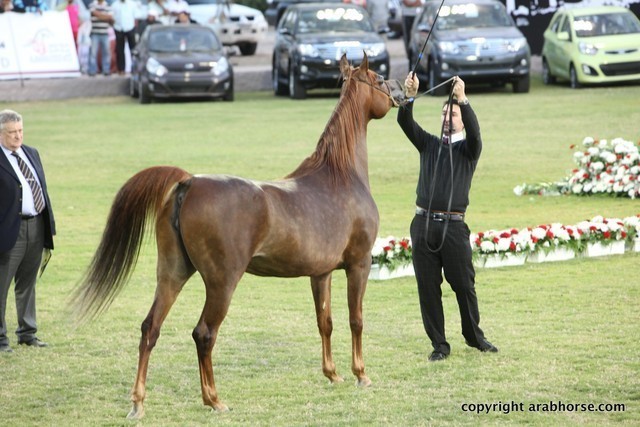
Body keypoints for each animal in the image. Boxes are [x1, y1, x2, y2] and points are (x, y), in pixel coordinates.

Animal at [72, 54, 406, 419]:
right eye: (378, 79)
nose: (401, 90)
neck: (340, 175)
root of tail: (189, 181)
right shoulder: (359, 264)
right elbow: (355, 319)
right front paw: (361, 374)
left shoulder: (321, 273)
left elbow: (325, 321)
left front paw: (332, 374)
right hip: (222, 283)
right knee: (204, 334)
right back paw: (214, 399)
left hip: (172, 273)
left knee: (151, 328)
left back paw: (138, 402)